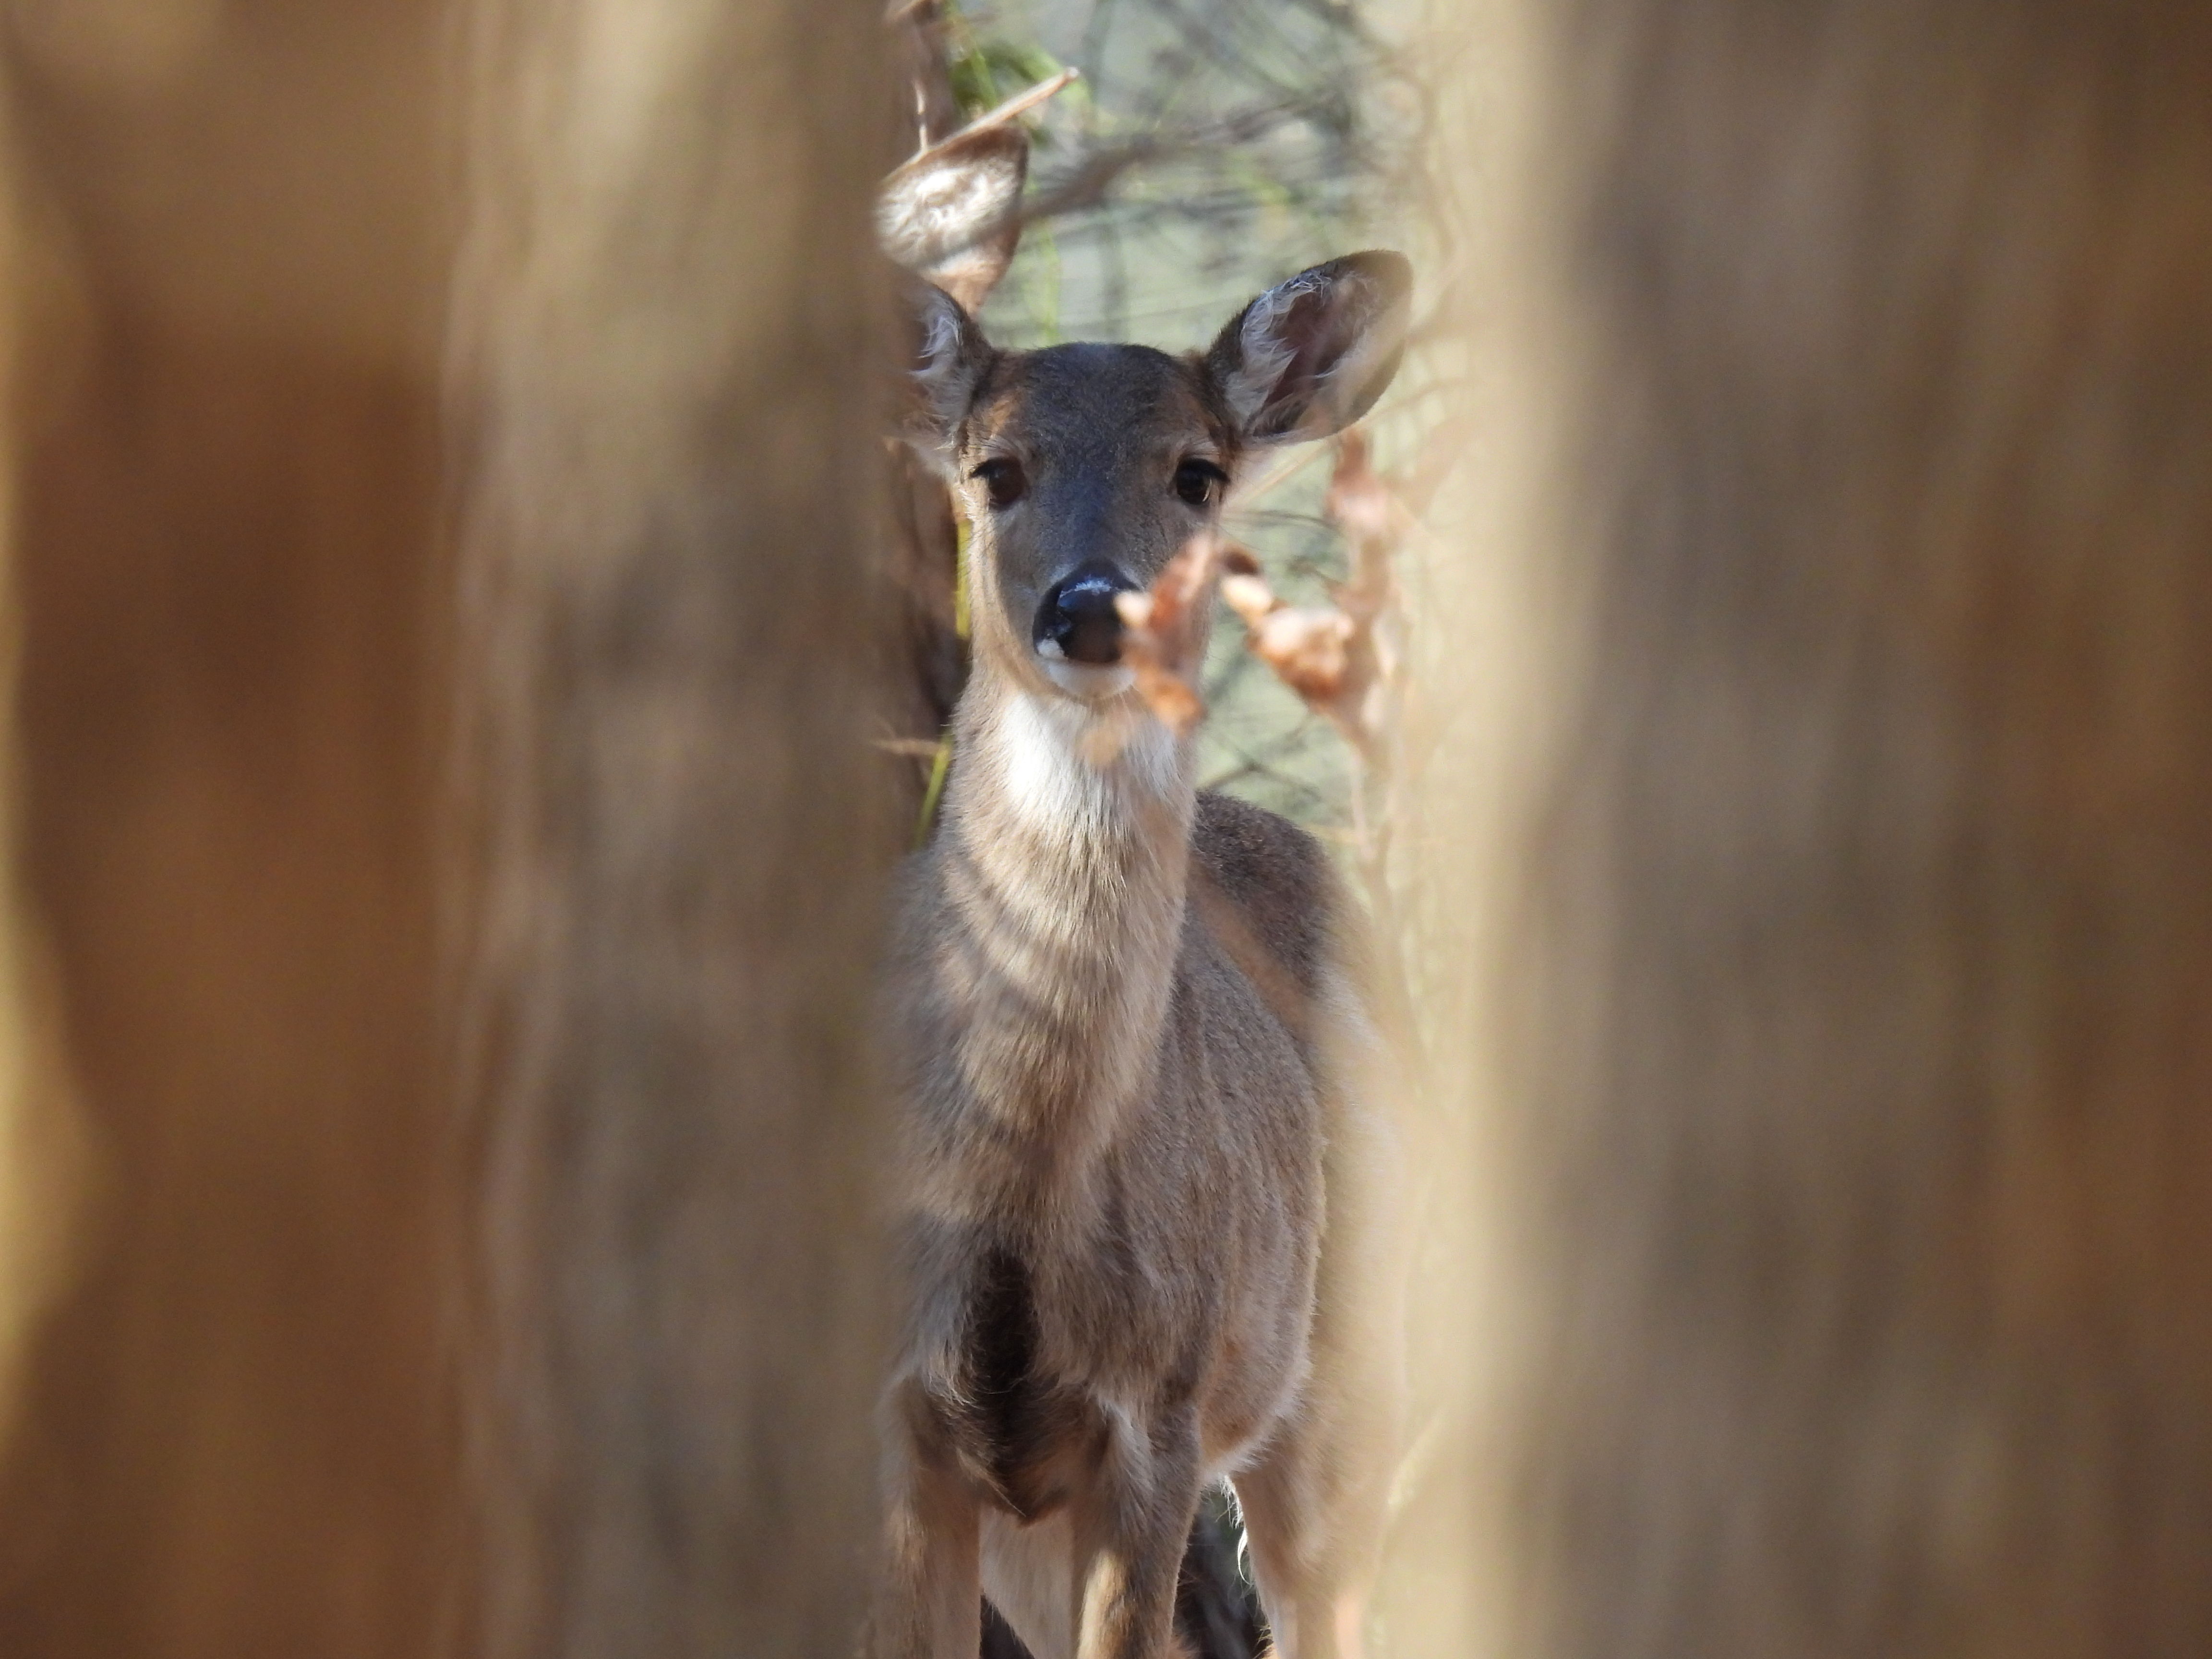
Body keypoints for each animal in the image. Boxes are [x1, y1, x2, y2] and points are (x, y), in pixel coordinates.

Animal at [873, 133, 1412, 1659]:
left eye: (1198, 471)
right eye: (994, 468)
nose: (1089, 607)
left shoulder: (1156, 1417)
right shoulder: (902, 1429)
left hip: (1340, 1376)